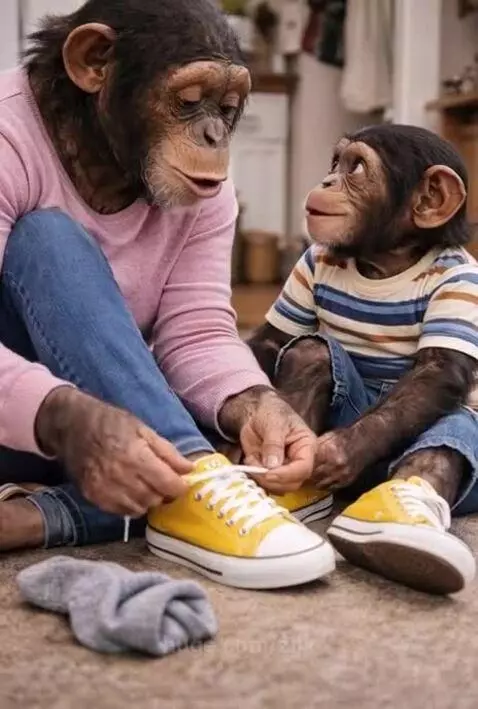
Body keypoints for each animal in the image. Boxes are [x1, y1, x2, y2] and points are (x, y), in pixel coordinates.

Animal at [248, 124, 478, 594]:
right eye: (336, 163)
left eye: (356, 169)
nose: (328, 181)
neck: (387, 262)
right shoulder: (308, 263)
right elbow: (274, 340)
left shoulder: (461, 280)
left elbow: (440, 370)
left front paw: (337, 452)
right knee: (312, 352)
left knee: (451, 427)